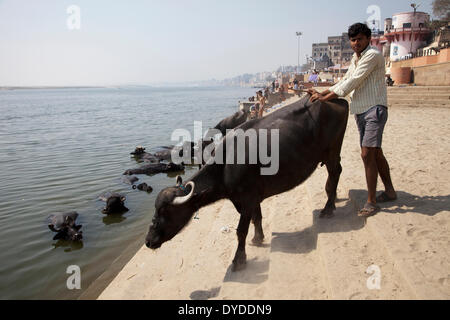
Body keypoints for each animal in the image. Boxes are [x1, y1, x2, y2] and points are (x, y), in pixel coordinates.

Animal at [146, 94, 350, 272]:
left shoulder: (247, 200)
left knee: (335, 172)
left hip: (332, 151)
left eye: (165, 211)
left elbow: (241, 231)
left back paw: (328, 208)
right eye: (155, 210)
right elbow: (256, 218)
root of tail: (335, 99)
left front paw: (239, 260)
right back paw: (334, 200)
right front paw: (258, 238)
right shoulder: (251, 198)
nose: (148, 241)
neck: (224, 167)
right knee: (335, 174)